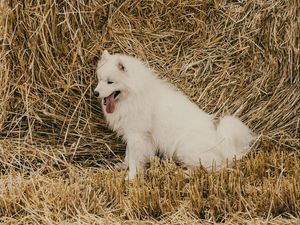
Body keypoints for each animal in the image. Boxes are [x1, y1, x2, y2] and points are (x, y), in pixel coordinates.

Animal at [94, 50, 253, 179]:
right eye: (100, 79)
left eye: (110, 82)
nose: (95, 93)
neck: (133, 95)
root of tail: (222, 144)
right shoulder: (132, 134)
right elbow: (129, 154)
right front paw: (122, 166)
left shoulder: (137, 135)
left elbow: (134, 158)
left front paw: (131, 177)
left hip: (185, 147)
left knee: (208, 169)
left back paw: (180, 173)